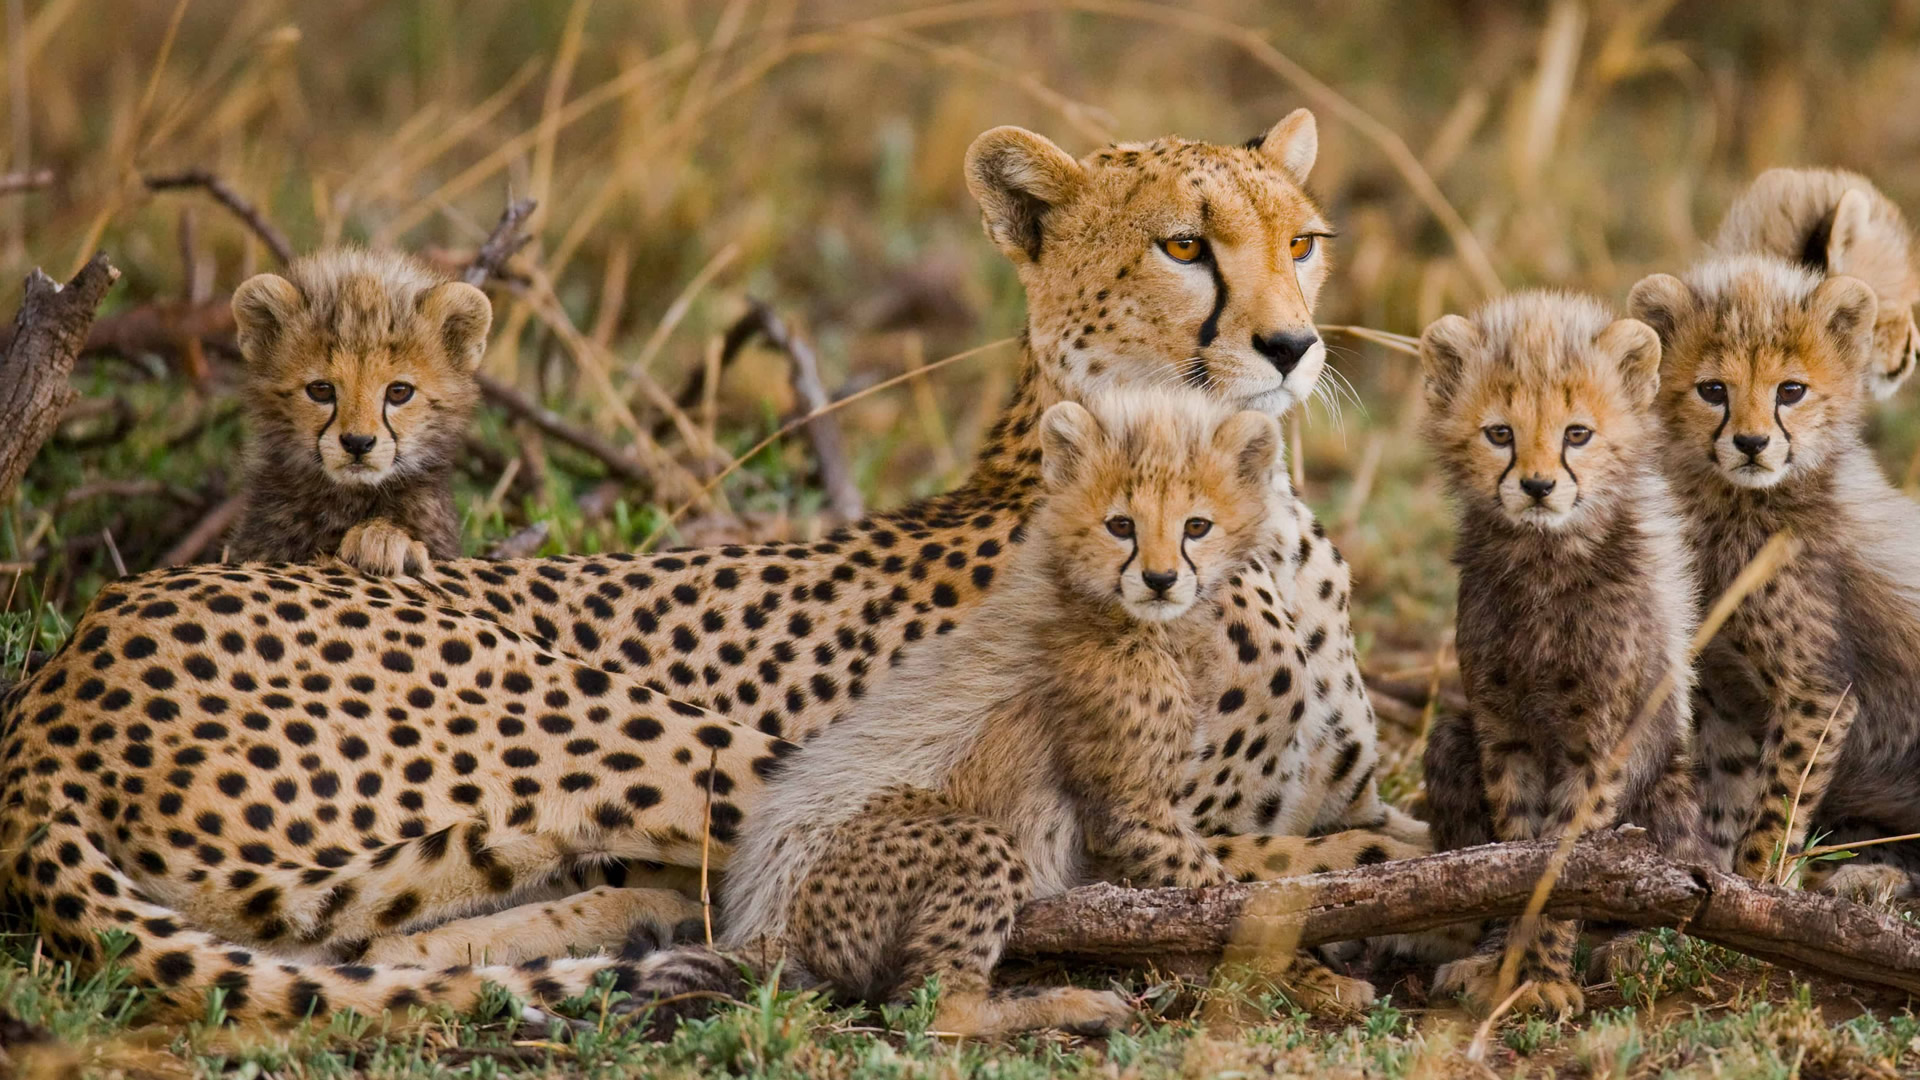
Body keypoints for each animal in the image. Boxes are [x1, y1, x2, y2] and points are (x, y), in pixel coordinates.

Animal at [1416, 291, 1704, 1017]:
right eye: (1500, 434)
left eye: (1578, 434)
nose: (1540, 486)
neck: (1546, 560)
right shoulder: (1502, 727)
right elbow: (1513, 855)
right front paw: (1509, 966)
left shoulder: (1597, 743)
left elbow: (1566, 862)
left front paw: (1544, 974)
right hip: (1451, 739)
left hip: (1668, 786)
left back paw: (1637, 946)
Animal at [1630, 254, 1920, 899]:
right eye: (1713, 390)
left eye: (1791, 391)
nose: (1751, 443)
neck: (1739, 506)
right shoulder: (1725, 692)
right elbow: (1728, 792)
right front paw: (1715, 883)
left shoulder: (1818, 693)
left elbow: (1778, 804)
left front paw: (1758, 886)